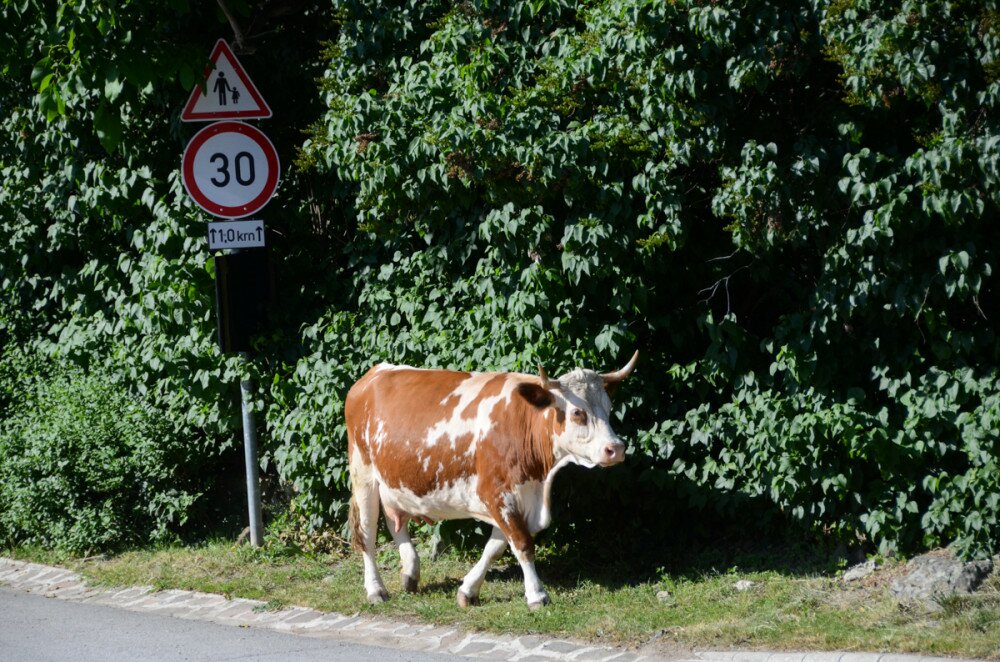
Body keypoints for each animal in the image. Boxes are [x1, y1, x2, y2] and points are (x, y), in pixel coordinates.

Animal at [348, 352, 636, 612]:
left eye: (608, 409)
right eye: (577, 412)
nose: (616, 448)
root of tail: (372, 374)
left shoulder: (517, 496)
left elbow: (495, 548)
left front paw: (468, 591)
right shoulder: (495, 493)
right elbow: (522, 544)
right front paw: (537, 595)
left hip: (395, 482)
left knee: (394, 521)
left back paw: (410, 572)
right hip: (363, 474)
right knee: (367, 532)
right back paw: (376, 589)